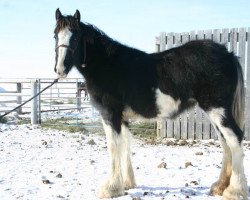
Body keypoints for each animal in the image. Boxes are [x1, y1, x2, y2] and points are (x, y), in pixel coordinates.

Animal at [53, 8, 248, 199]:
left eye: (75, 37)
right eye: (55, 35)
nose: (60, 70)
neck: (108, 65)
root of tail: (229, 55)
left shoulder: (110, 114)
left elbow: (113, 147)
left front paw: (110, 188)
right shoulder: (122, 117)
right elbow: (125, 144)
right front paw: (127, 184)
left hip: (217, 108)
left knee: (234, 138)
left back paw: (234, 191)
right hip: (215, 112)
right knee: (225, 141)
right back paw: (219, 187)